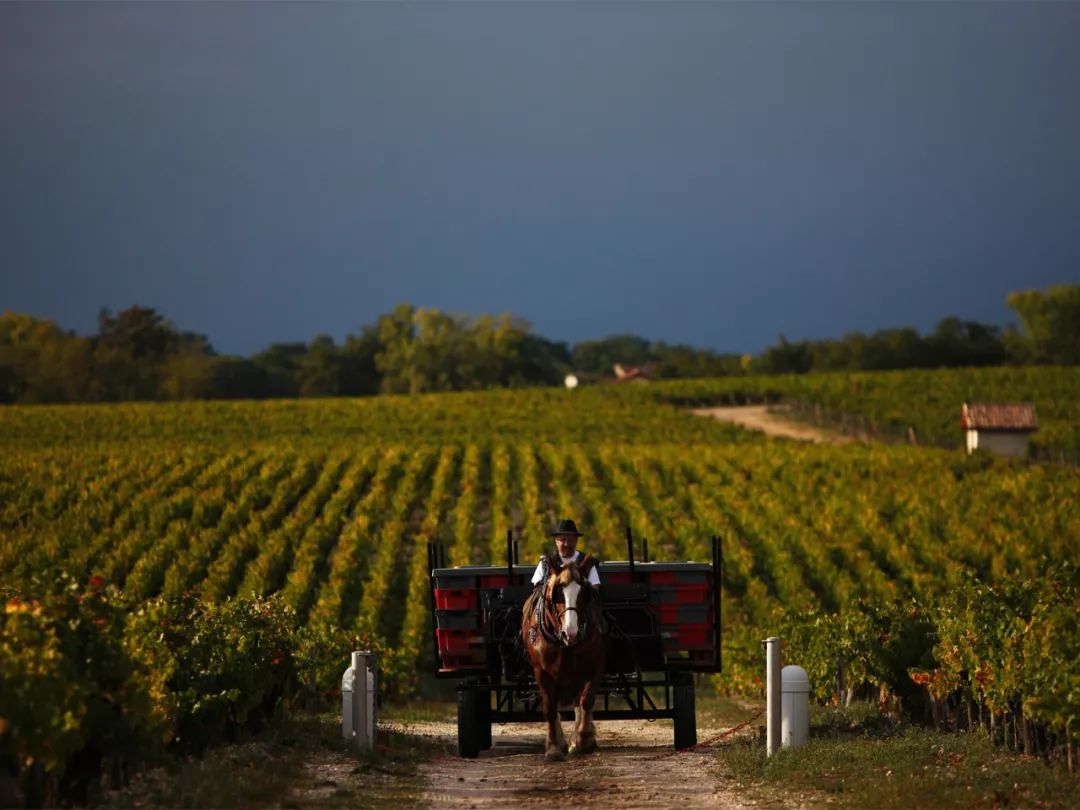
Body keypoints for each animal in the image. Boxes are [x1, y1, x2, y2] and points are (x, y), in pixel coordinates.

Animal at [522, 552, 609, 760]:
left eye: (584, 592)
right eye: (556, 593)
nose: (571, 633)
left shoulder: (595, 667)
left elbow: (586, 700)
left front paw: (584, 739)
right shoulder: (542, 673)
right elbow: (550, 708)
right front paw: (554, 746)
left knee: (579, 702)